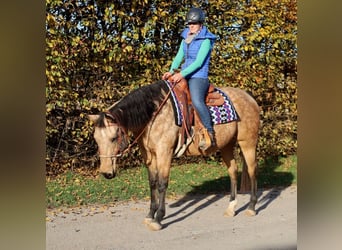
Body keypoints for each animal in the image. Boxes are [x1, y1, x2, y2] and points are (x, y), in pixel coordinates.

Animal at [88, 79, 260, 230]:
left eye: (113, 138)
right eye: (96, 139)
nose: (106, 173)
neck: (153, 115)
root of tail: (250, 98)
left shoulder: (164, 152)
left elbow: (162, 183)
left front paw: (158, 219)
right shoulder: (150, 155)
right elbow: (152, 183)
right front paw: (150, 215)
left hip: (247, 142)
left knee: (252, 171)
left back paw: (251, 207)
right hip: (226, 146)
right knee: (233, 171)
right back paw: (231, 208)